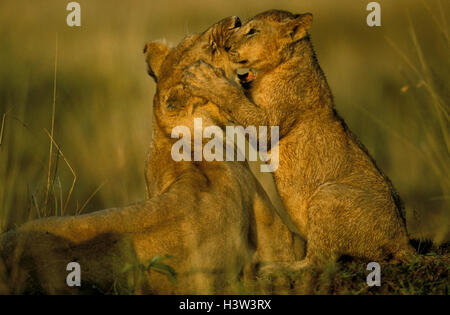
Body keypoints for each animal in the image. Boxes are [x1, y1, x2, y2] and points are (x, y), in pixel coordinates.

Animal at [182, 10, 414, 272]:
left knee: (319, 261)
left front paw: (204, 78)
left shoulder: (270, 124)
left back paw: (276, 267)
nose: (227, 46)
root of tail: (404, 240)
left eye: (253, 31)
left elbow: (236, 99)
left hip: (327, 195)